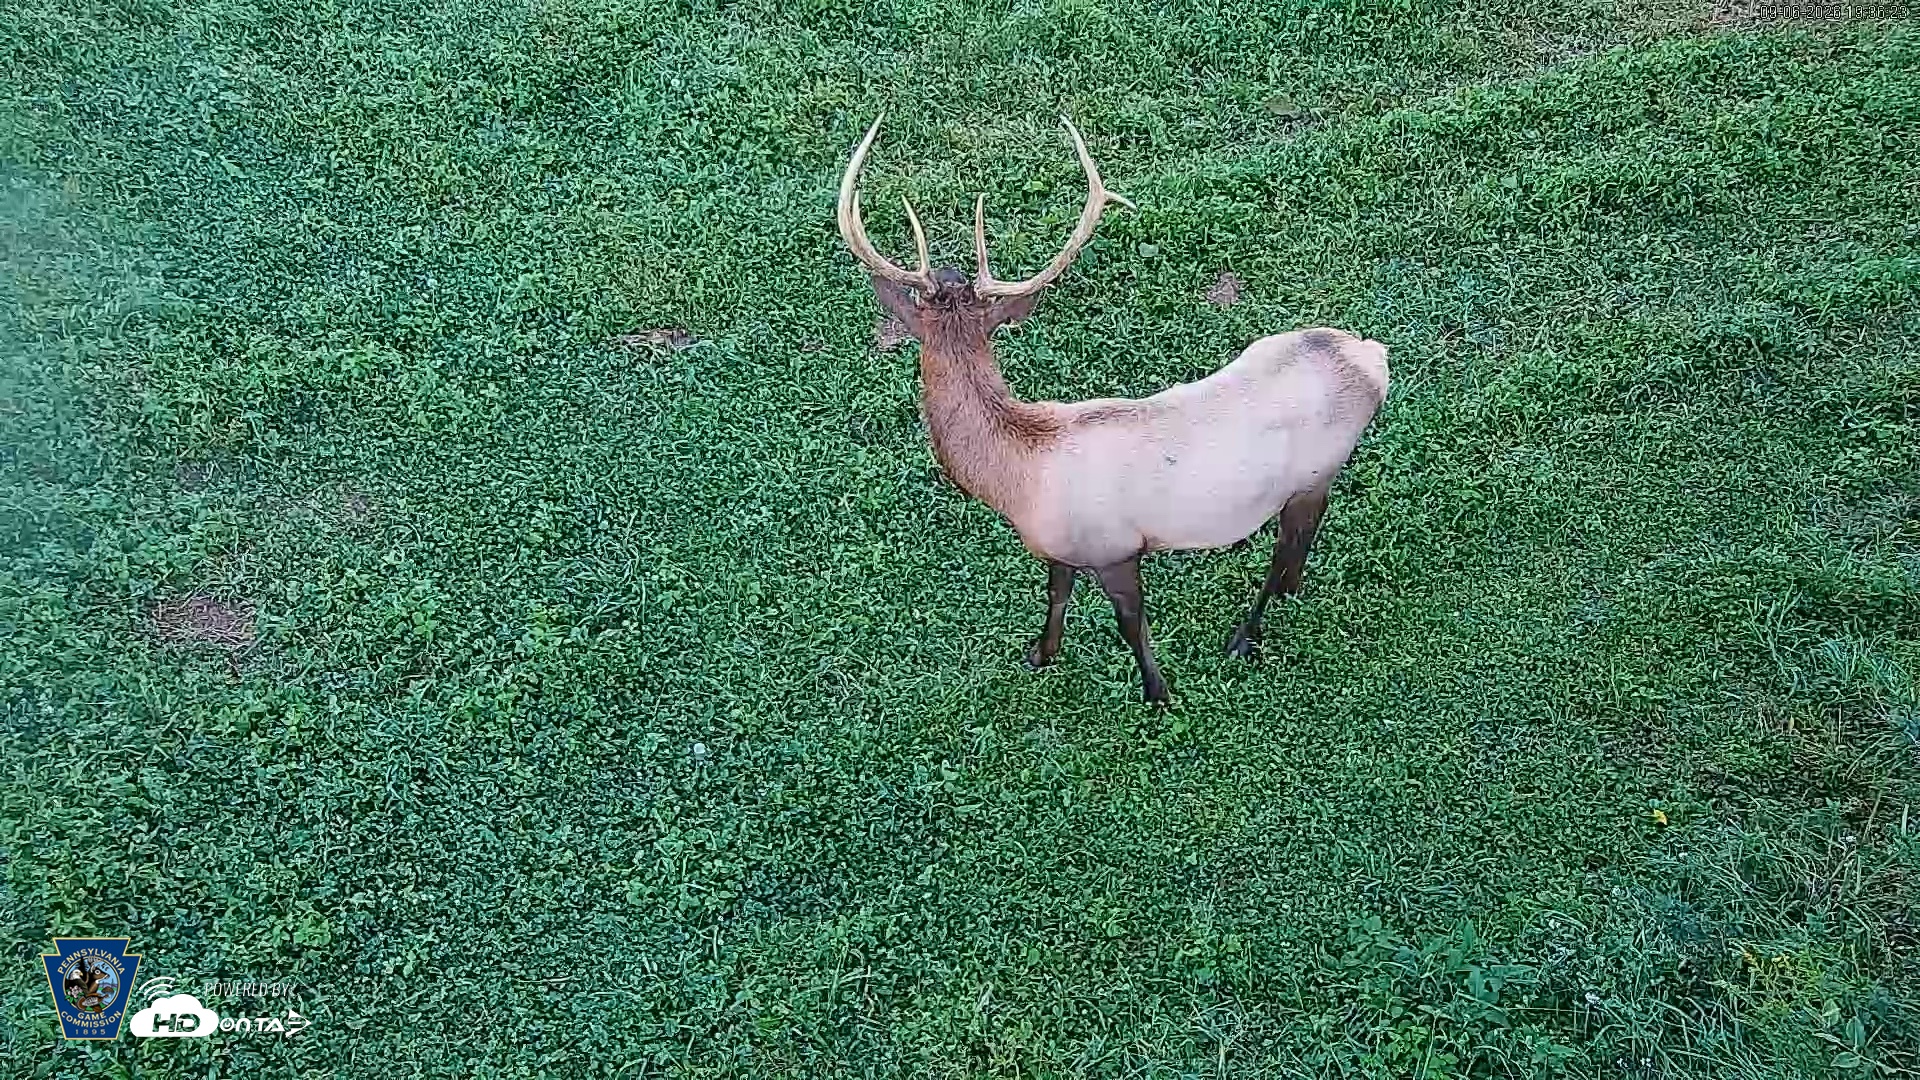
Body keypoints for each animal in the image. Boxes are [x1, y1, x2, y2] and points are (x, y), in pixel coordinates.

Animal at [835, 114, 1388, 704]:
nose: (951, 272)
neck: (1019, 481)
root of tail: (1373, 359)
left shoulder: (1116, 548)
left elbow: (1131, 623)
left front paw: (1158, 693)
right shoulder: (1063, 549)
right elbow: (1056, 595)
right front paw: (1041, 655)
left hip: (1313, 473)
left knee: (1287, 545)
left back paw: (1246, 634)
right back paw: (1287, 596)